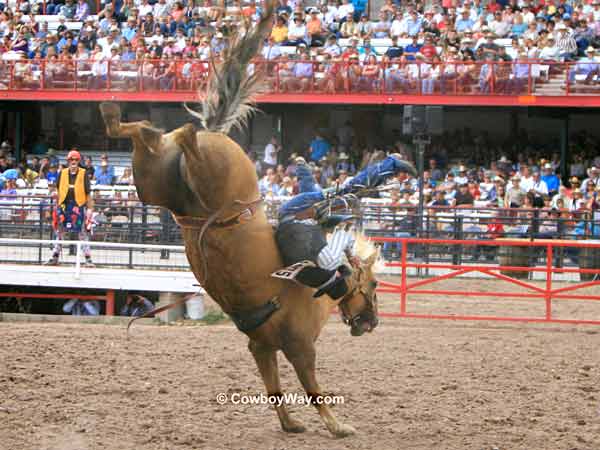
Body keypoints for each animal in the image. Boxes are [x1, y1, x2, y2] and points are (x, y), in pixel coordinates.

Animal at [98, 0, 380, 436]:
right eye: (376, 285)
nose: (372, 322)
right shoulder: (300, 346)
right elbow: (313, 390)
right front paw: (337, 426)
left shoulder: (261, 346)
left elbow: (274, 389)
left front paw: (290, 424)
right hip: (209, 169)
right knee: (185, 135)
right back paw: (178, 128)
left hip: (153, 181)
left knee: (146, 134)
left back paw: (118, 115)